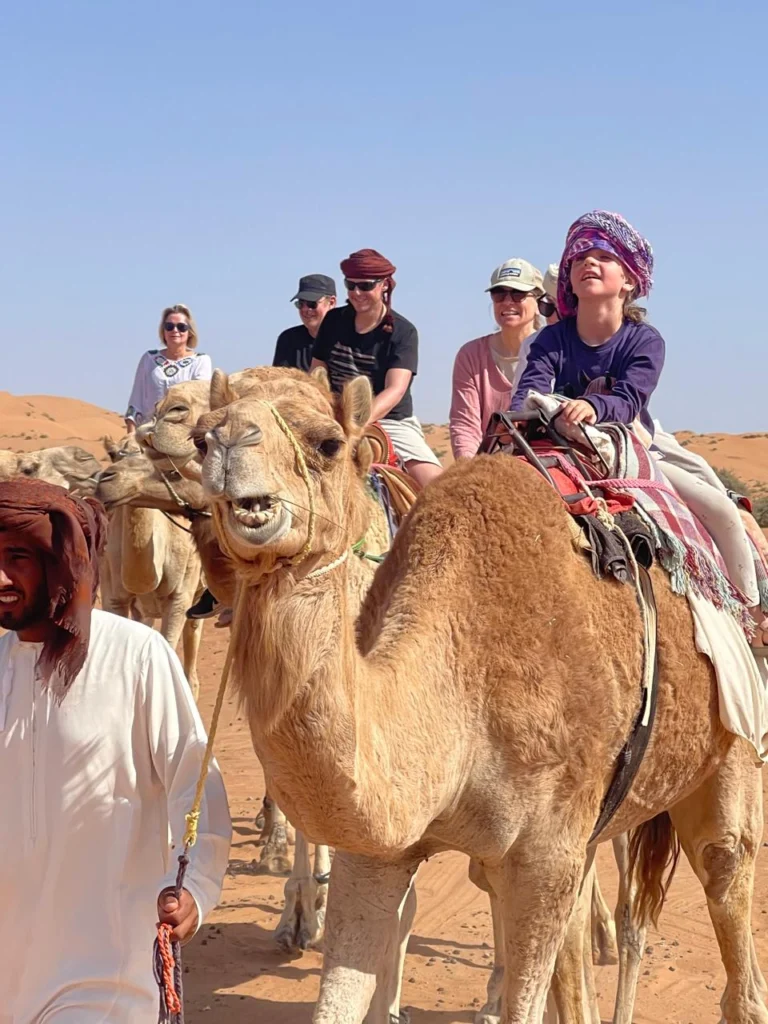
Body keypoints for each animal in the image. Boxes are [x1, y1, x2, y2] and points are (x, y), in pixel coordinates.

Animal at [197, 365, 766, 1024]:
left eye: (328, 443)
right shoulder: (379, 850)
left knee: (725, 881)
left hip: (730, 747)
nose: (227, 442)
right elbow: (340, 994)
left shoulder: (547, 853)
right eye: (201, 437)